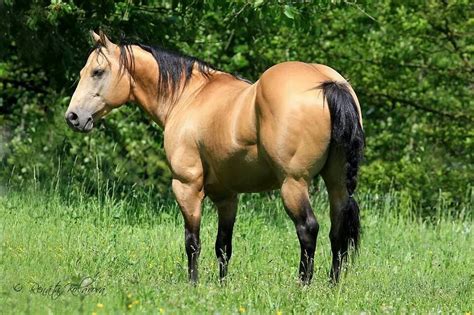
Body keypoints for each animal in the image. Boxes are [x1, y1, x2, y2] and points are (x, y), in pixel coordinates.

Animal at [65, 30, 364, 286]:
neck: (188, 96)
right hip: (336, 184)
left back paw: (303, 284)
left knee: (308, 228)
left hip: (293, 184)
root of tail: (329, 83)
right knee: (337, 230)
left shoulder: (186, 186)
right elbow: (223, 246)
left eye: (97, 71)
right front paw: (221, 286)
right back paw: (332, 285)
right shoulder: (226, 196)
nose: (73, 117)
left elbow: (192, 241)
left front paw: (193, 285)